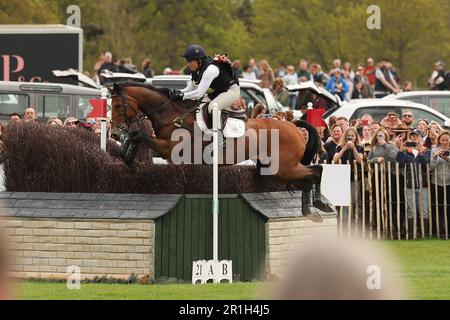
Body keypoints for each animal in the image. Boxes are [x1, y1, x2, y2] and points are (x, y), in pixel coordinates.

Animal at [107, 82, 328, 222]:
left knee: (316, 171)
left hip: (284, 168)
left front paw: (129, 160)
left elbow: (139, 135)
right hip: (277, 171)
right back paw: (309, 212)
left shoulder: (168, 149)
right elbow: (135, 134)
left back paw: (320, 205)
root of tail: (293, 125)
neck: (172, 114)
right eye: (110, 106)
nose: (115, 133)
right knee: (307, 179)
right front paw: (127, 157)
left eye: (117, 105)